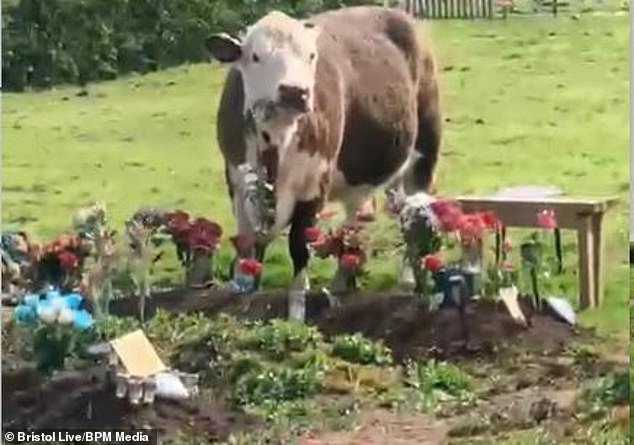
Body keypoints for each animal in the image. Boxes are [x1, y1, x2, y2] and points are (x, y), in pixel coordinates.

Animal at [207, 4, 440, 308]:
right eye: (256, 56)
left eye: (311, 56)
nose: (295, 91)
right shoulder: (236, 177)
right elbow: (248, 241)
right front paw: (244, 288)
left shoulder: (316, 181)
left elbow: (299, 243)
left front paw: (298, 297)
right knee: (357, 218)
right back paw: (343, 279)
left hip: (425, 148)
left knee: (413, 210)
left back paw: (409, 280)